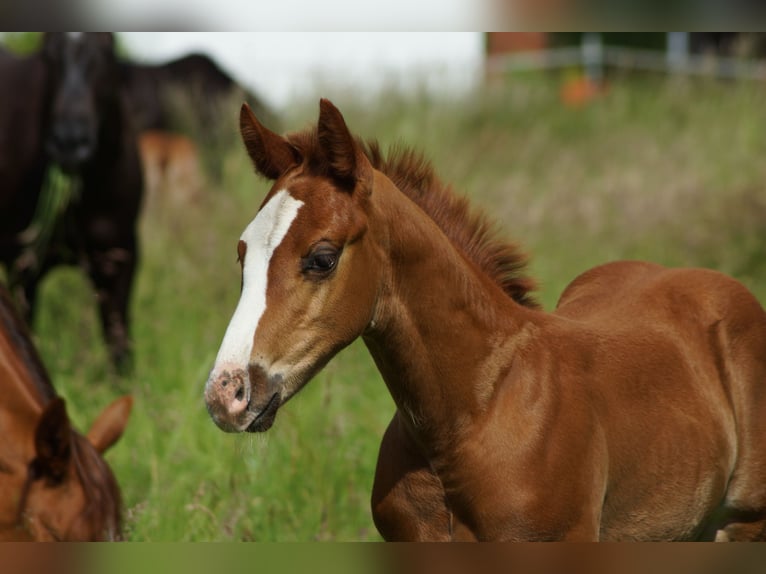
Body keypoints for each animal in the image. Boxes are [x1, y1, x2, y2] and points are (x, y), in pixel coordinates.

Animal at [0, 33, 143, 372]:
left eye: (107, 46)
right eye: (48, 52)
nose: (69, 141)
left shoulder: (121, 258)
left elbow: (118, 345)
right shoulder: (22, 263)